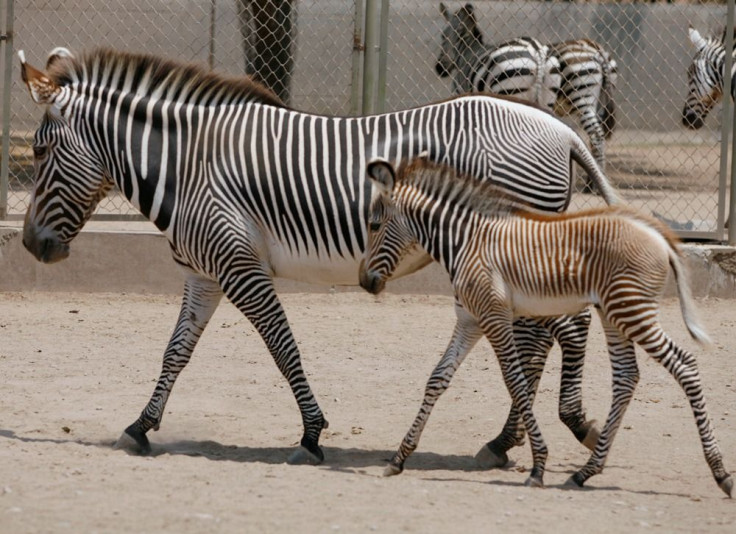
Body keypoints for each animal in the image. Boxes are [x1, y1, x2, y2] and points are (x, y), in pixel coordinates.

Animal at [17, 46, 620, 464]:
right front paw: (141, 426)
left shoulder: (239, 264)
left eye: (41, 151)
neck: (188, 166)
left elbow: (283, 348)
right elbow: (175, 353)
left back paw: (538, 431)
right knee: (553, 332)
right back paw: (511, 437)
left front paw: (310, 435)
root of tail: (561, 129)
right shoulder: (204, 273)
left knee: (557, 332)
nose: (28, 246)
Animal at [358, 156, 732, 498]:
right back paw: (586, 472)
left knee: (685, 365)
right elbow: (437, 379)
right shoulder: (469, 321)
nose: (363, 282)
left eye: (374, 226)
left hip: (630, 310)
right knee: (627, 377)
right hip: (613, 312)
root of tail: (657, 232)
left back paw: (721, 474)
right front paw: (399, 457)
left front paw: (538, 465)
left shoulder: (494, 317)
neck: (465, 242)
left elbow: (516, 383)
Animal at [434, 3, 620, 175]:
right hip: (583, 98)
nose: (439, 69)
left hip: (574, 95)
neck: (465, 52)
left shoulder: (462, 94)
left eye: (443, 36)